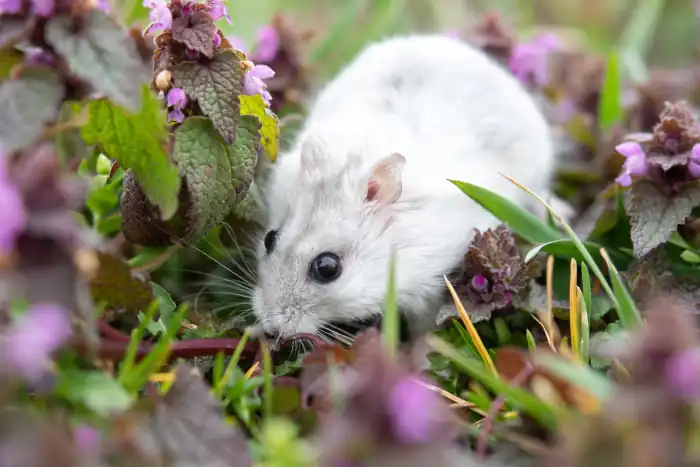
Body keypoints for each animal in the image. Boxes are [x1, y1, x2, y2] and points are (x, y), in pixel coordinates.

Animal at [250, 34, 558, 342]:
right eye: (269, 239)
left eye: (327, 268)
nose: (271, 329)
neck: (393, 247)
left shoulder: (430, 284)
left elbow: (426, 321)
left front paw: (422, 344)